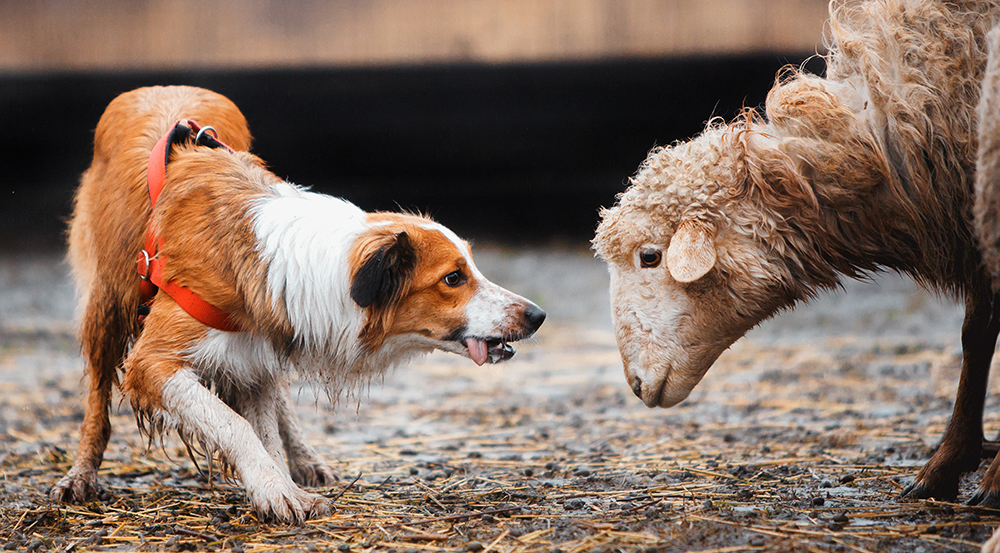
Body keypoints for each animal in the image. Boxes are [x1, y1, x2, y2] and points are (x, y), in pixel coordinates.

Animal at [50, 86, 544, 520]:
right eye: (453, 278)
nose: (537, 315)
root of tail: (156, 86)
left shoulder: (256, 354)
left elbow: (263, 429)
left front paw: (281, 486)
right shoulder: (154, 361)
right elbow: (234, 425)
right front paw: (275, 491)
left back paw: (306, 460)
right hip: (106, 302)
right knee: (97, 401)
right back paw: (80, 475)